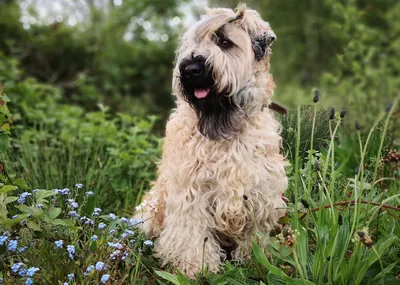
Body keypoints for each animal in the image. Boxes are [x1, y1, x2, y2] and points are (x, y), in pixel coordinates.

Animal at [135, 3, 288, 276]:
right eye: (193, 42)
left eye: (224, 42)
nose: (190, 70)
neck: (225, 128)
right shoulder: (190, 192)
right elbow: (192, 235)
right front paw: (197, 268)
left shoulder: (261, 191)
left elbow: (255, 236)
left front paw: (255, 261)